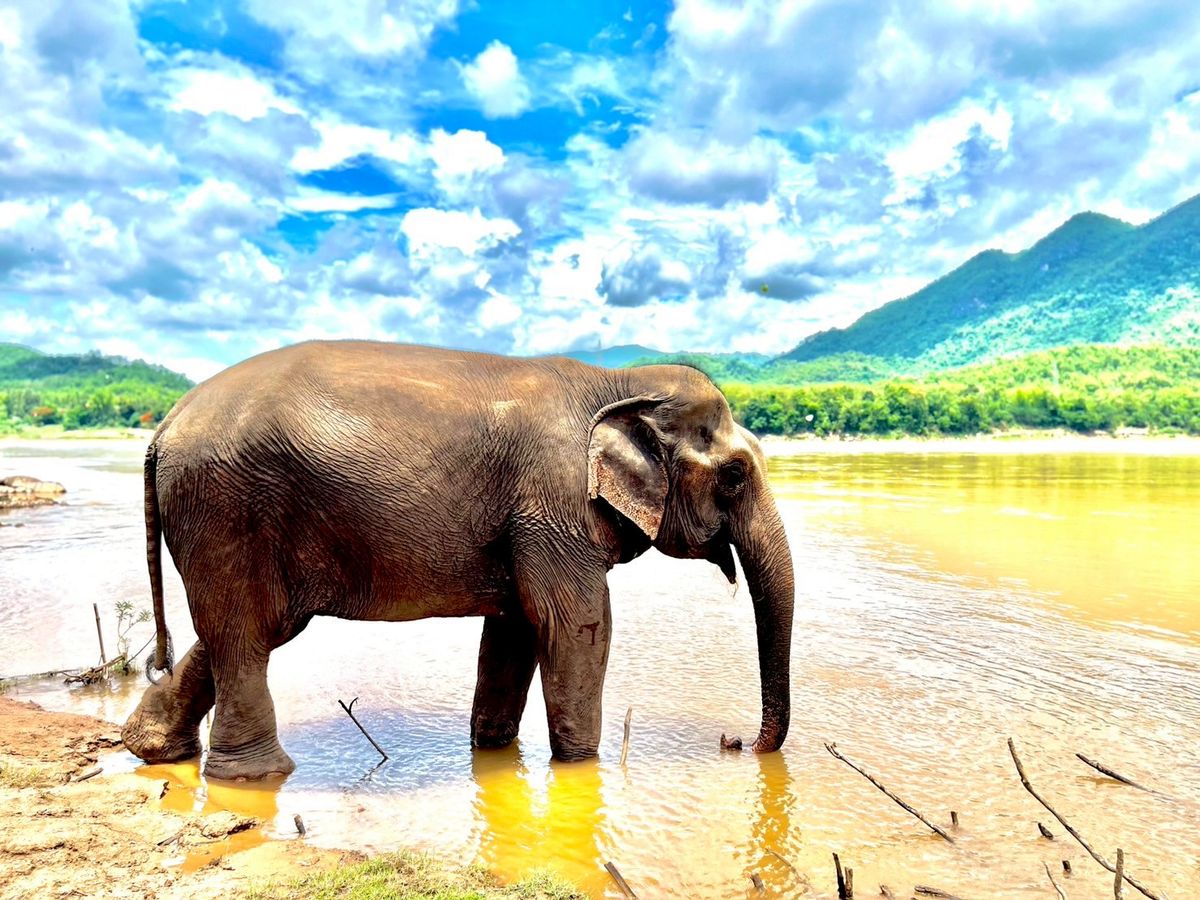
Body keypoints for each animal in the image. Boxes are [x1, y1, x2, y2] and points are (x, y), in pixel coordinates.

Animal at [120, 341, 795, 781]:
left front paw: (492, 752)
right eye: (735, 476)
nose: (734, 741)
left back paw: (153, 750)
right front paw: (580, 769)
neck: (617, 382)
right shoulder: (552, 502)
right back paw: (252, 776)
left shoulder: (528, 522)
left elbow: (516, 628)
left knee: (248, 629)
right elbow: (578, 625)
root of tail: (164, 426)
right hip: (227, 508)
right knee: (246, 633)